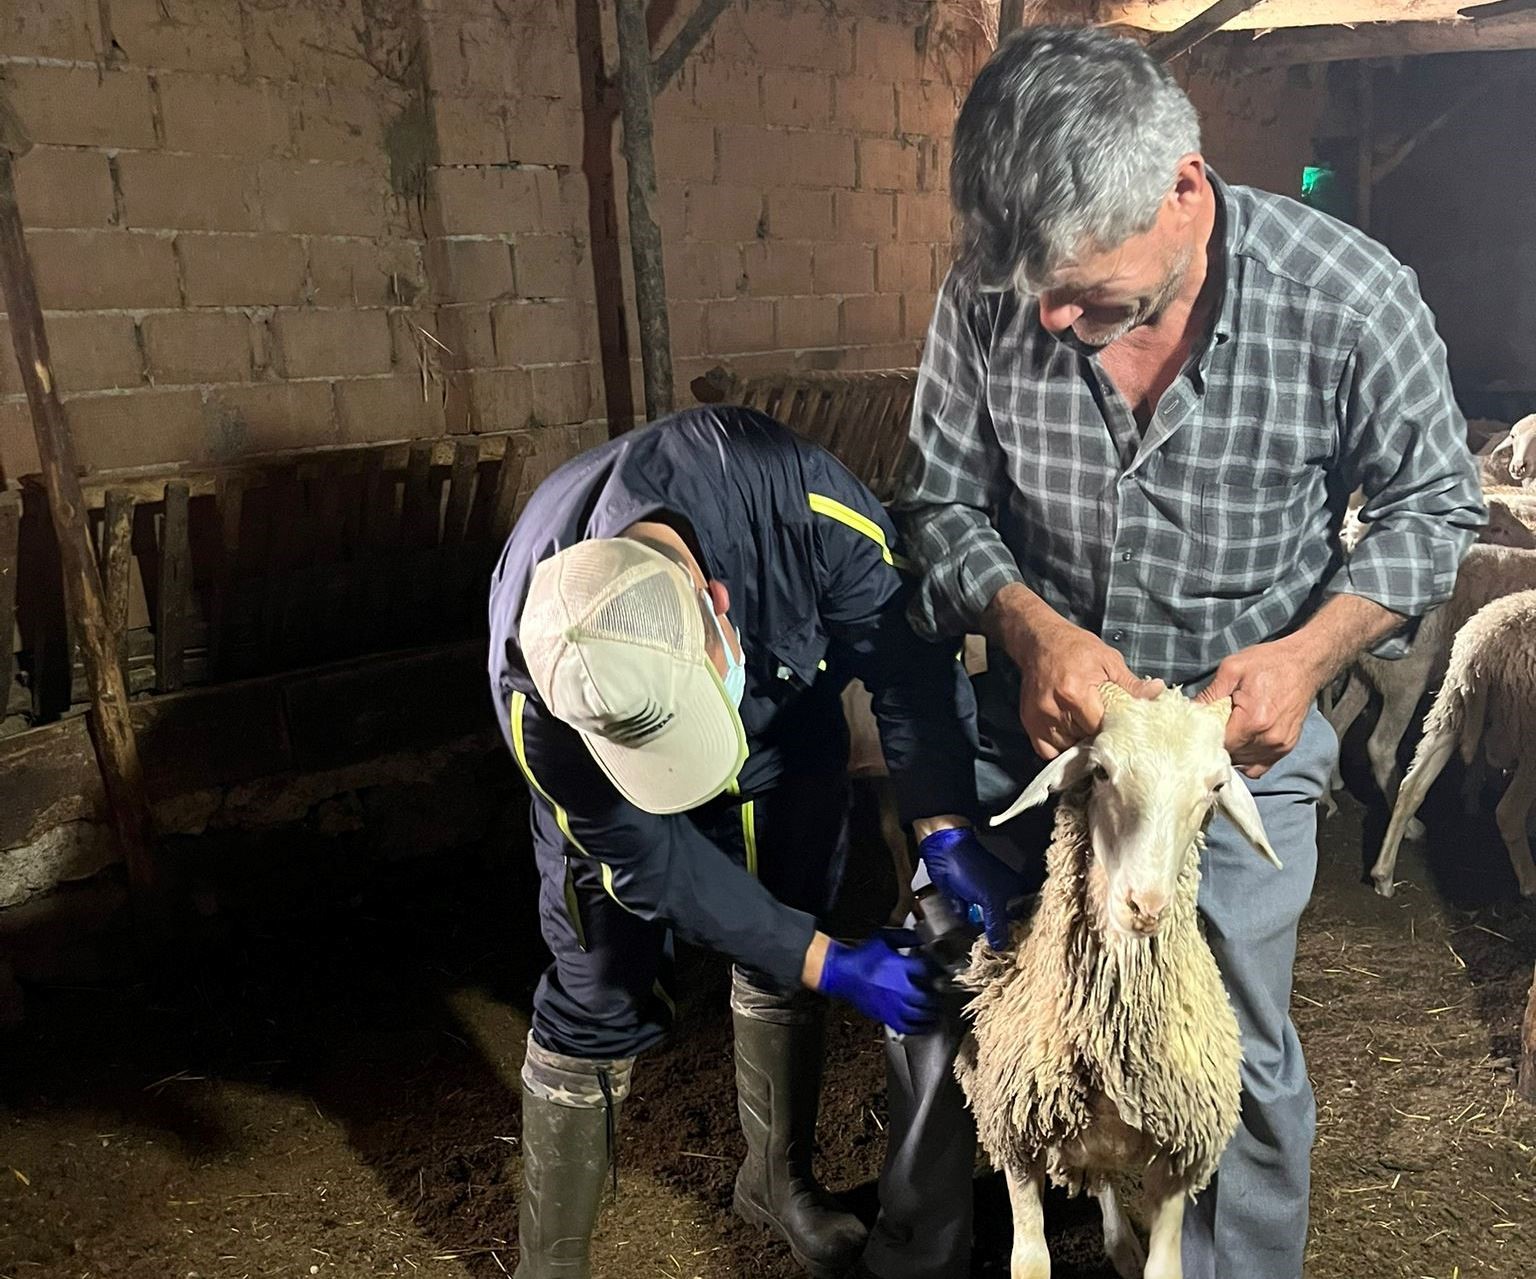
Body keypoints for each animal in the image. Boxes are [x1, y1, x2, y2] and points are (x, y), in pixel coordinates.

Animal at [958, 684, 1284, 1277]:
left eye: (1215, 787)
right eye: (1102, 771)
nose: (1145, 906)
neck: (1112, 1035)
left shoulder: (1180, 1154)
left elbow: (1166, 1267)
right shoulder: (1017, 1143)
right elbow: (1031, 1262)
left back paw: (1122, 1244)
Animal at [1376, 592, 1536, 896]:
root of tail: (1485, 645)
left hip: (1454, 706)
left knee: (1411, 786)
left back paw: (1383, 875)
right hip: (1526, 731)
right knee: (1508, 814)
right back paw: (1530, 883)